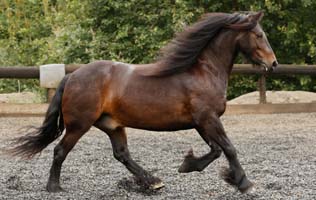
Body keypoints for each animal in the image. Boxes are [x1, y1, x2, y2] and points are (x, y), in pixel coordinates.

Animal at [10, 11, 276, 194]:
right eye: (259, 35)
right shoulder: (207, 119)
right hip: (79, 125)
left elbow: (216, 149)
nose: (273, 63)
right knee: (60, 150)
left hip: (112, 125)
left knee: (121, 154)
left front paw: (189, 165)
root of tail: (72, 76)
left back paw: (153, 181)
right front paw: (245, 183)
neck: (204, 72)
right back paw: (54, 187)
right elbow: (228, 148)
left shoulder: (202, 122)